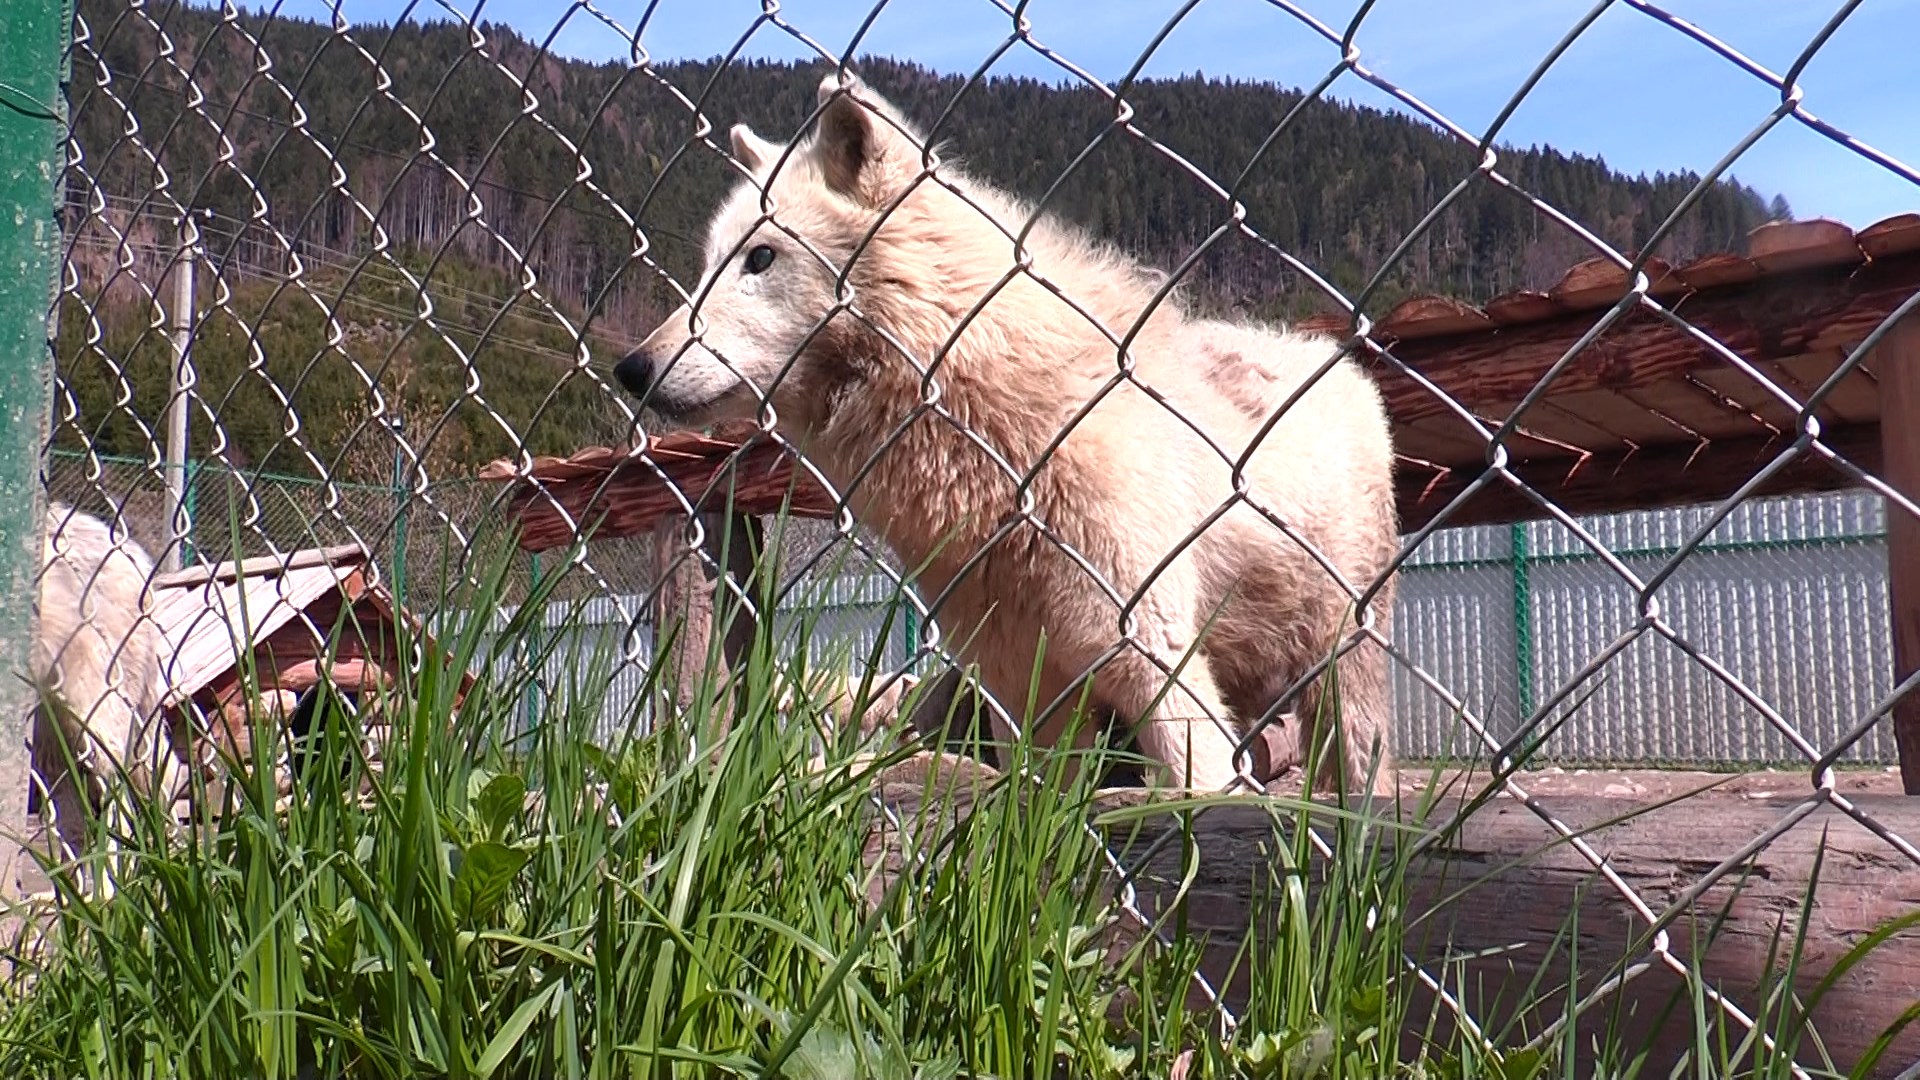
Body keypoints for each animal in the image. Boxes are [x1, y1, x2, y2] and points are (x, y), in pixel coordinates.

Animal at [622, 69, 1405, 791]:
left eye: (760, 258)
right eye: (705, 266)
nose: (633, 367)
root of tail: (1334, 359)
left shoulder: (1150, 653)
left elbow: (1201, 795)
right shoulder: (1019, 684)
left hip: (1345, 665)